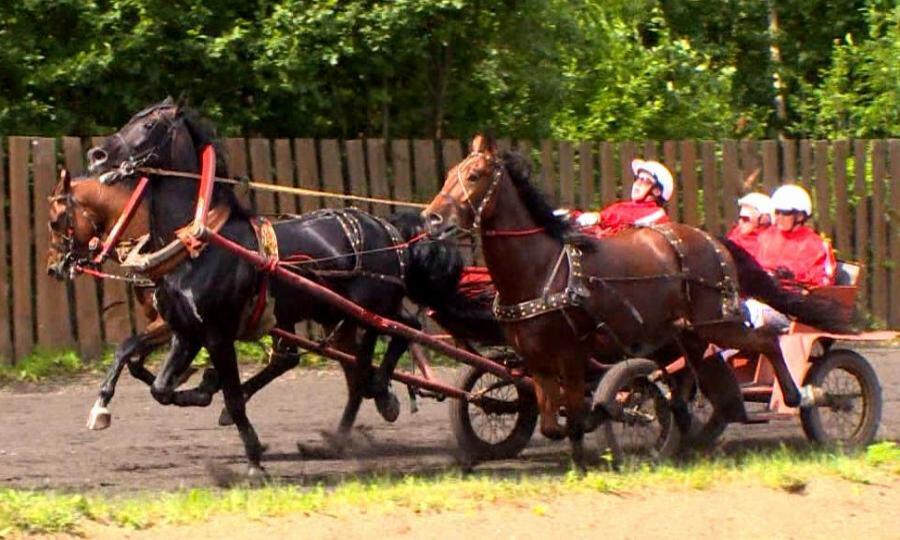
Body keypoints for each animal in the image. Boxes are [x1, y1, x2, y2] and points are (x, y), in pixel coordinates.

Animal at [426, 135, 856, 468]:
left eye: (475, 176)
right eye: (448, 175)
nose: (431, 219)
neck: (542, 269)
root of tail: (713, 242)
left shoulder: (571, 355)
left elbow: (580, 415)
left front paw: (612, 420)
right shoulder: (537, 361)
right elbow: (551, 424)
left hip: (718, 324)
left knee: (766, 341)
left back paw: (805, 396)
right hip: (688, 335)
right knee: (694, 382)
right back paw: (684, 425)